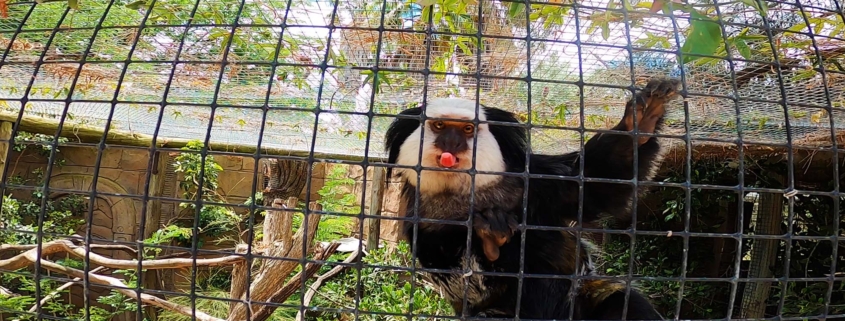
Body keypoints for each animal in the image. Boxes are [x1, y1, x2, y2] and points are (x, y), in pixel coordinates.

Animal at [380, 77, 680, 318]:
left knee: (621, 302)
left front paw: (641, 120)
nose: (451, 145)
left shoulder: (536, 181)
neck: (470, 194)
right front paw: (490, 239)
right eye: (440, 126)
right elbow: (456, 277)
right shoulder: (419, 219)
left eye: (467, 130)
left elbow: (597, 182)